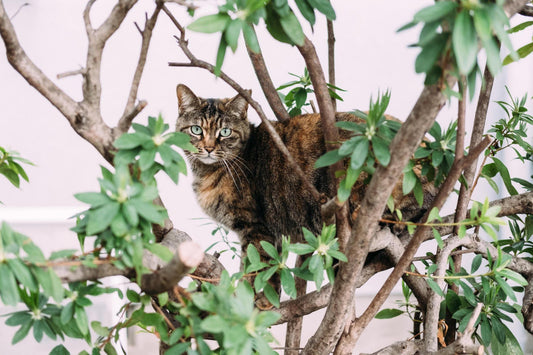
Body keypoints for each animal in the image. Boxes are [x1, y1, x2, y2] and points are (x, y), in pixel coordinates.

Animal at [175, 83, 436, 266]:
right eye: (196, 129)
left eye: (225, 132)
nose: (209, 148)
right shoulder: (273, 237)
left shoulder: (257, 228)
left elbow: (255, 272)